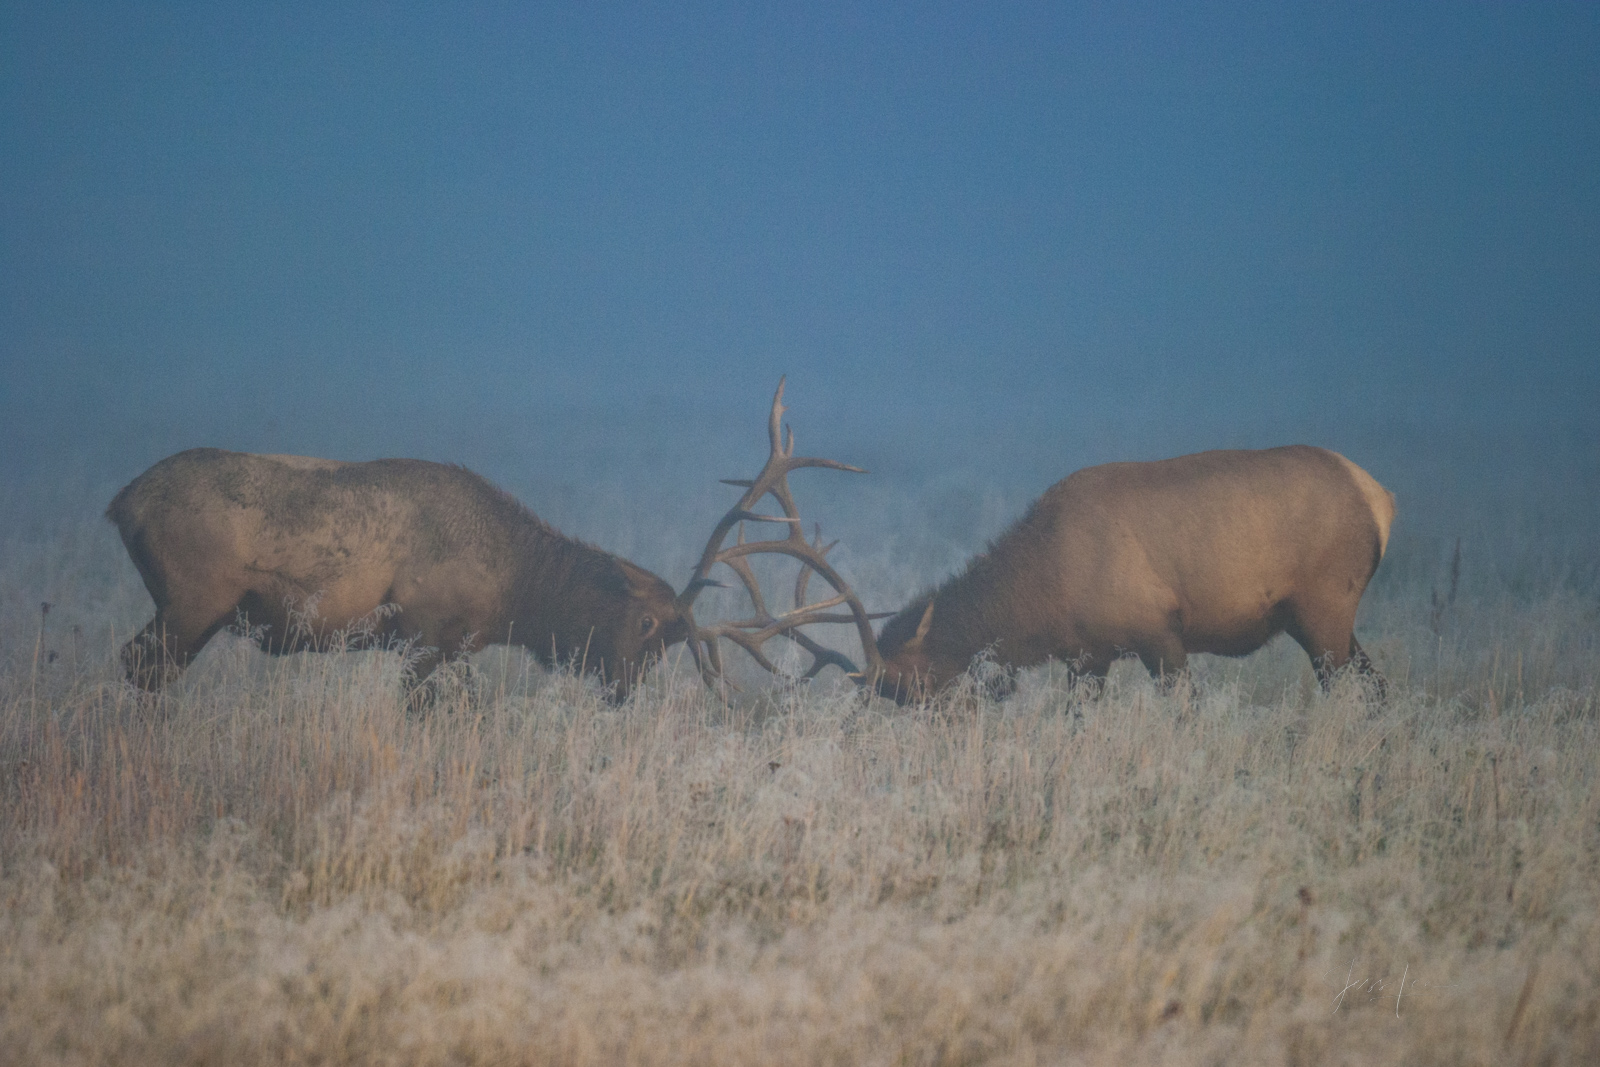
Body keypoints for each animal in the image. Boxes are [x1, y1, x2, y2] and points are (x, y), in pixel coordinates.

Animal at [103, 447, 691, 700]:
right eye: (645, 623)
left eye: (673, 642)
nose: (623, 690)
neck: (515, 584)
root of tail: (123, 502)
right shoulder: (424, 638)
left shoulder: (452, 649)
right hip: (191, 606)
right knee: (139, 665)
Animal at [681, 382, 1395, 700]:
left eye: (918, 691)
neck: (1044, 591)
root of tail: (1380, 498)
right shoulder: (1088, 657)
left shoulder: (1160, 635)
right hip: (1320, 620)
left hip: (1324, 610)